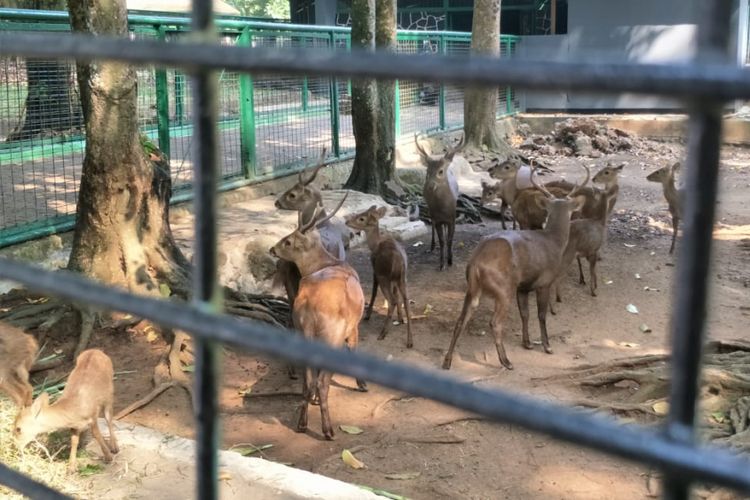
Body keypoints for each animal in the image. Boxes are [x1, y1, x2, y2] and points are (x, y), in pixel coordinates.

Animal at [270, 193, 368, 440]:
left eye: (288, 241)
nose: (272, 249)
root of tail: (309, 307)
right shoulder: (354, 326)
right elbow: (354, 350)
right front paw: (362, 384)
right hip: (331, 337)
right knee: (322, 382)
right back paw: (328, 430)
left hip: (303, 332)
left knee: (308, 381)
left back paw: (302, 423)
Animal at [346, 205, 414, 346]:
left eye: (361, 218)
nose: (347, 221)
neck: (374, 245)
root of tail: (399, 261)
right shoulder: (394, 280)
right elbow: (397, 295)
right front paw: (400, 319)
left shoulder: (375, 270)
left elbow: (374, 292)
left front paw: (367, 315)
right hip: (403, 278)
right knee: (406, 301)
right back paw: (410, 340)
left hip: (384, 276)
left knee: (392, 300)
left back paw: (383, 333)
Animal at [414, 133, 468, 270]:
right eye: (427, 172)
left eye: (440, 171)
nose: (430, 186)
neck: (444, 209)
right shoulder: (438, 219)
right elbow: (442, 241)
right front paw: (442, 263)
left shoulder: (452, 219)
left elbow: (449, 239)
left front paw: (450, 260)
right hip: (429, 209)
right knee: (432, 223)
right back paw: (432, 246)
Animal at [444, 164, 592, 372]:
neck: (554, 242)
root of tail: (475, 263)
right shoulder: (544, 281)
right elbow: (541, 315)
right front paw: (547, 346)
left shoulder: (523, 287)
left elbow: (525, 314)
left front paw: (527, 343)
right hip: (503, 287)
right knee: (495, 322)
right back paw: (506, 361)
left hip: (473, 288)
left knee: (460, 320)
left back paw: (447, 361)